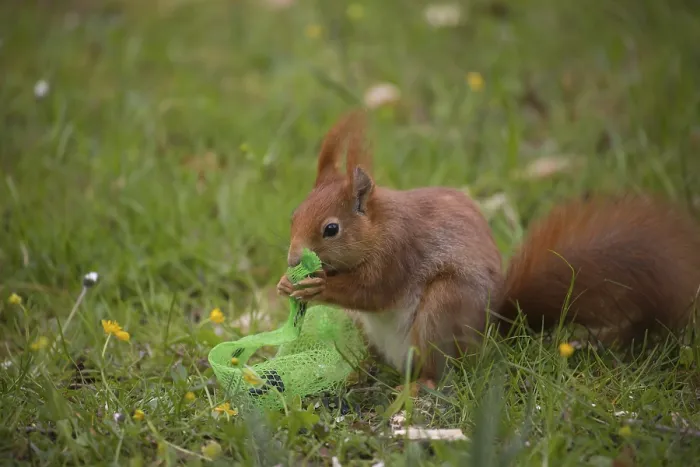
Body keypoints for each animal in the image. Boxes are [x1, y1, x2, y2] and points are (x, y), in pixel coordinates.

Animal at [276, 111, 700, 388]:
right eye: (293, 215)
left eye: (331, 229)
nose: (294, 259)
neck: (378, 228)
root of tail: (493, 332)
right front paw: (285, 283)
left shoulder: (397, 252)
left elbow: (372, 291)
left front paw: (317, 286)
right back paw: (359, 372)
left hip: (443, 309)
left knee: (437, 370)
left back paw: (418, 385)